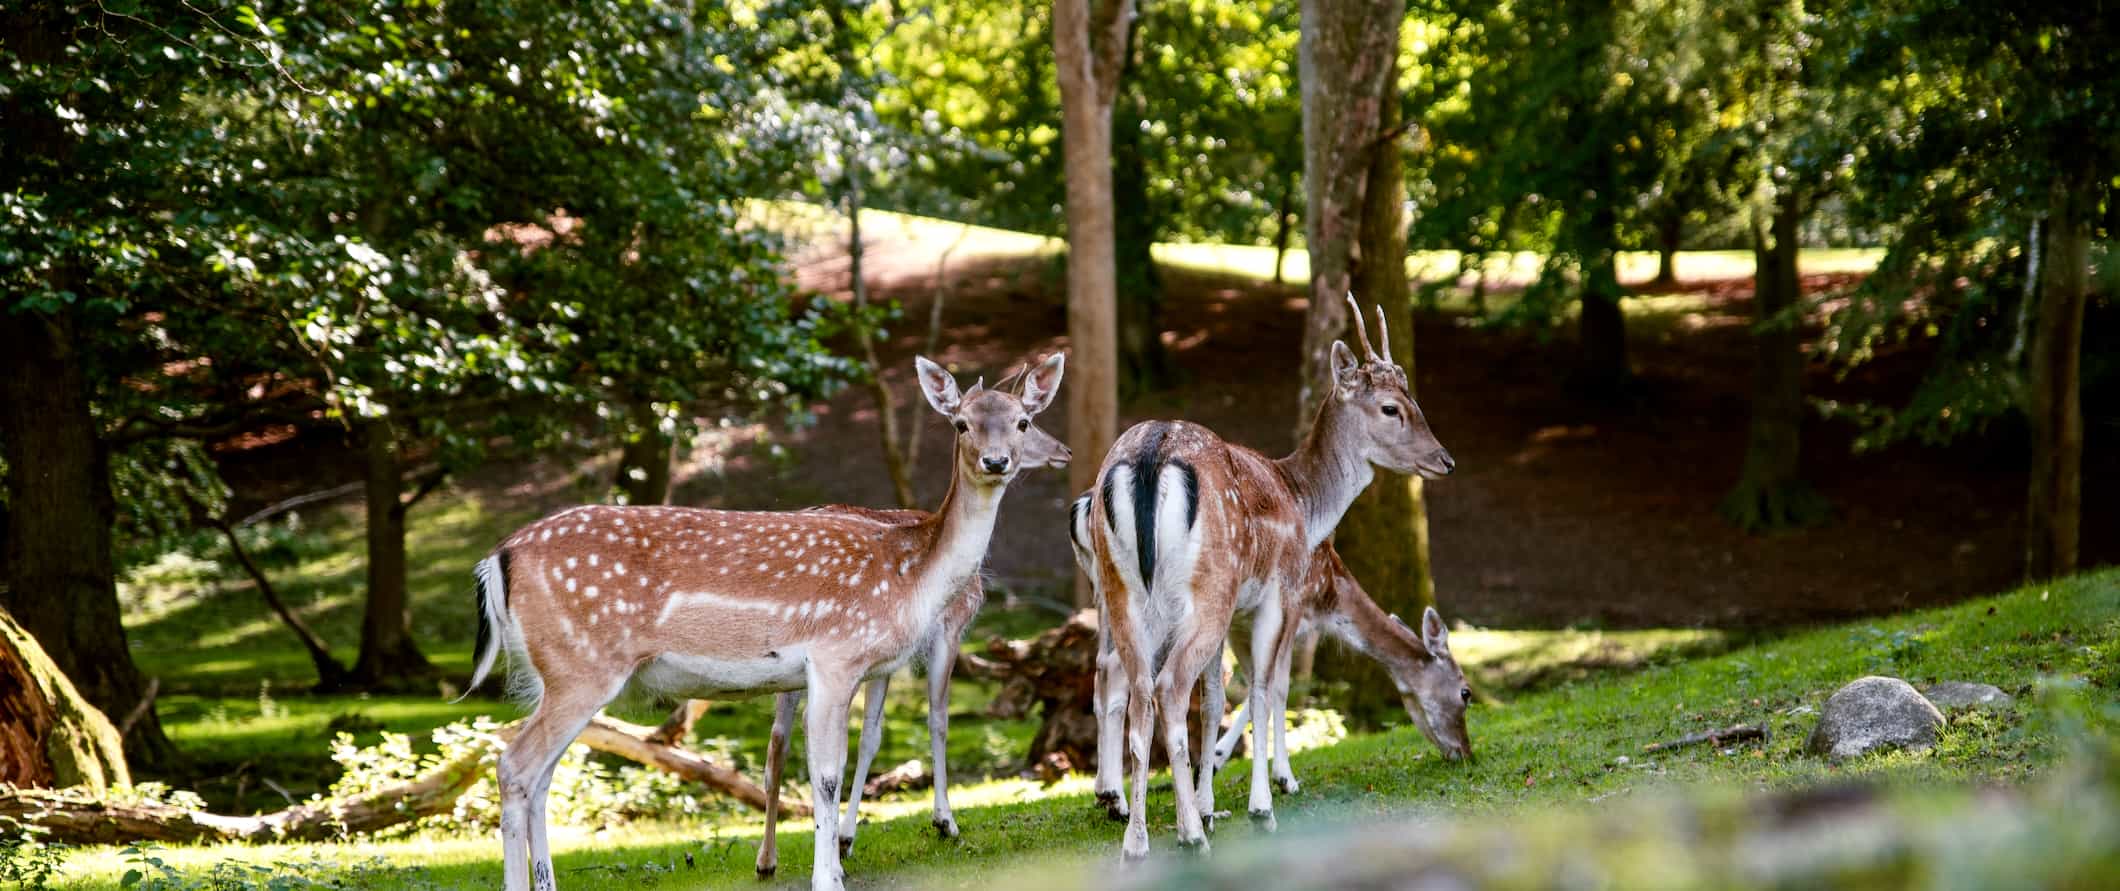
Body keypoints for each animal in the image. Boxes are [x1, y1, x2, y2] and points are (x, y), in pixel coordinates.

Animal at [462, 352, 1060, 886]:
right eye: (962, 423)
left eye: (1022, 421)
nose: (997, 462)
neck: (910, 574)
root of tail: (498, 558)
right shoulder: (836, 657)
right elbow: (826, 774)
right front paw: (830, 876)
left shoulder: (849, 669)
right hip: (580, 666)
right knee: (515, 767)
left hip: (554, 674)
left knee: (540, 777)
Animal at [1085, 301, 1450, 861]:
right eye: (1392, 408)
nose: (1444, 459)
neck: (1302, 502)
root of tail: (1151, 455)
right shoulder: (1281, 593)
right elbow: (1264, 687)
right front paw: (1262, 804)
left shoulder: (1236, 608)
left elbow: (1217, 698)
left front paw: (1211, 805)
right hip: (1206, 590)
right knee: (1168, 688)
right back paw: (1188, 836)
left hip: (1125, 591)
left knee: (1137, 690)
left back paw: (1137, 840)